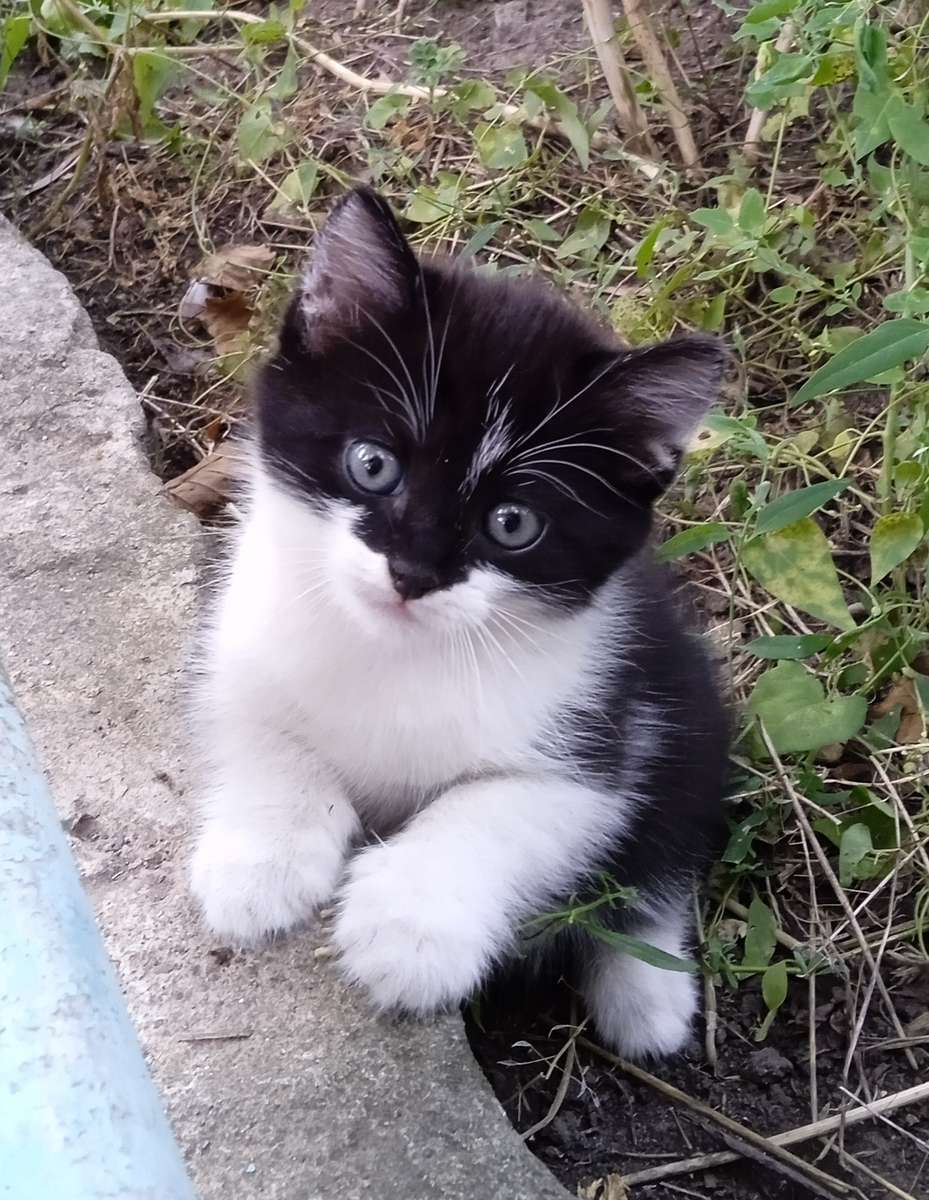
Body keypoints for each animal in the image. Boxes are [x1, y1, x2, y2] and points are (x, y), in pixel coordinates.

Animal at [193, 184, 729, 1060]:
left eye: (512, 524)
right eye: (372, 465)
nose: (413, 572)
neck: (396, 653)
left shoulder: (596, 739)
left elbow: (498, 810)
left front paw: (408, 928)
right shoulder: (241, 635)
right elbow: (262, 727)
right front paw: (261, 862)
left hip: (686, 706)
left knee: (659, 861)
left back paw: (648, 996)